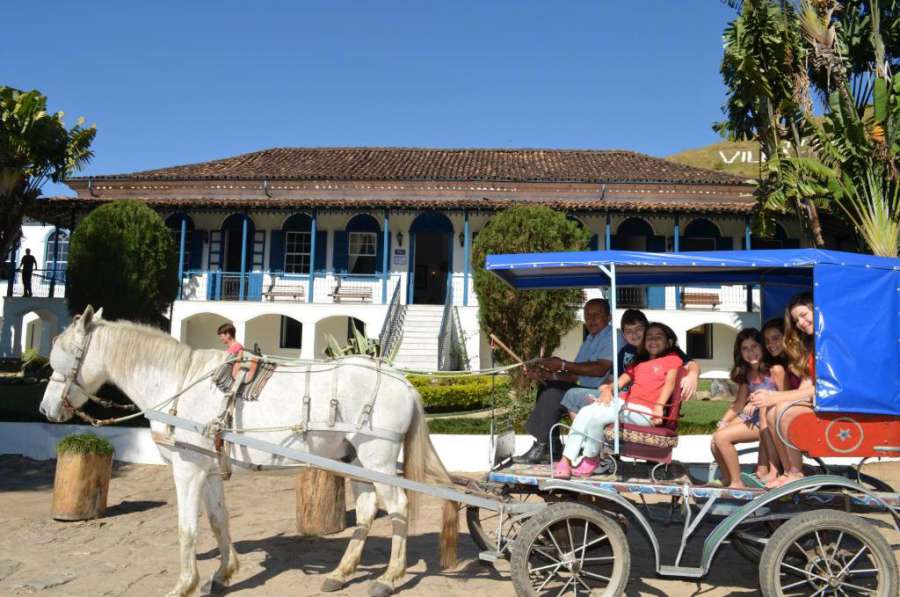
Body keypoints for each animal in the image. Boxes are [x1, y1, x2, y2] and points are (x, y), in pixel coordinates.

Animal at [39, 308, 460, 596]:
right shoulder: (209, 470)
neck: (178, 382)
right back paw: (341, 573)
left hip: (378, 458)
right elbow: (217, 522)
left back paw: (389, 577)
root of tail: (402, 380)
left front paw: (184, 584)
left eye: (63, 358)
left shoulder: (187, 468)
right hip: (356, 460)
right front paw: (222, 574)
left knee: (399, 507)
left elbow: (187, 528)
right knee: (369, 509)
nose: (46, 409)